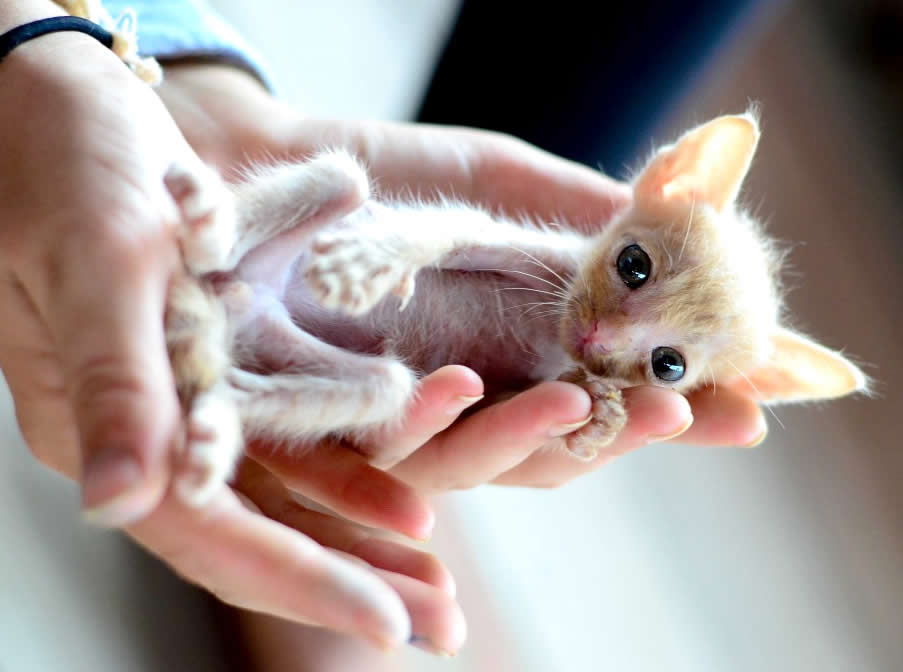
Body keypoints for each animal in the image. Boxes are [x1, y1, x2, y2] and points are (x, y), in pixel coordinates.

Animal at [161, 113, 868, 502]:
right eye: (633, 264)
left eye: (669, 366)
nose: (598, 340)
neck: (553, 331)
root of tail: (235, 302)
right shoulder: (528, 249)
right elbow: (448, 230)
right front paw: (374, 258)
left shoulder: (523, 382)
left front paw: (597, 417)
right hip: (322, 200)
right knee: (343, 176)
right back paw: (206, 228)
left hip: (296, 351)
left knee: (384, 386)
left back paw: (217, 419)